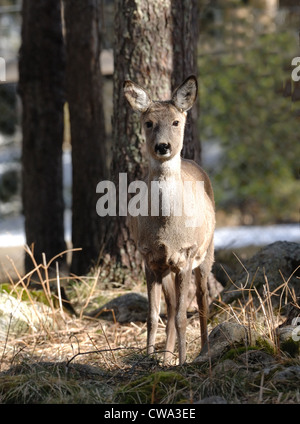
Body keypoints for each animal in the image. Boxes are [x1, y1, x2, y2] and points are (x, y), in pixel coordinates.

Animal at [124, 75, 216, 364]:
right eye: (148, 123)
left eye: (176, 122)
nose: (162, 146)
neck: (166, 228)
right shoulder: (149, 257)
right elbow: (153, 316)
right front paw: (149, 359)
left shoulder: (185, 256)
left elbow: (182, 318)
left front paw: (183, 362)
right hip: (165, 268)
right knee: (174, 304)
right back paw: (166, 357)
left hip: (207, 251)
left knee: (202, 301)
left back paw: (204, 351)